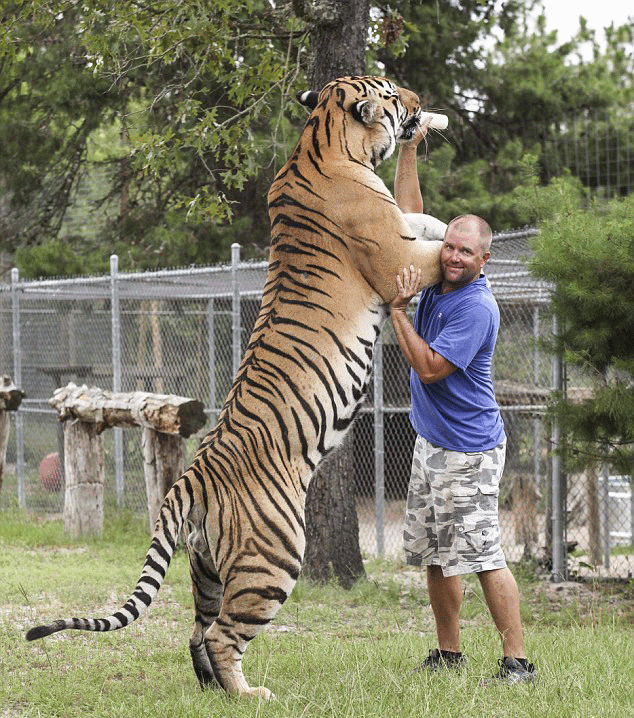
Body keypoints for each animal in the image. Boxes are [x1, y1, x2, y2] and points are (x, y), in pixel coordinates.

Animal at [25, 76, 444, 700]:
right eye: (393, 91)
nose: (419, 103)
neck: (322, 140)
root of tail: (188, 481)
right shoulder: (396, 259)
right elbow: (436, 246)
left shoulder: (401, 228)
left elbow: (426, 220)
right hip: (274, 559)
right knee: (223, 634)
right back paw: (249, 695)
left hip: (206, 569)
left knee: (197, 630)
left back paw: (214, 691)